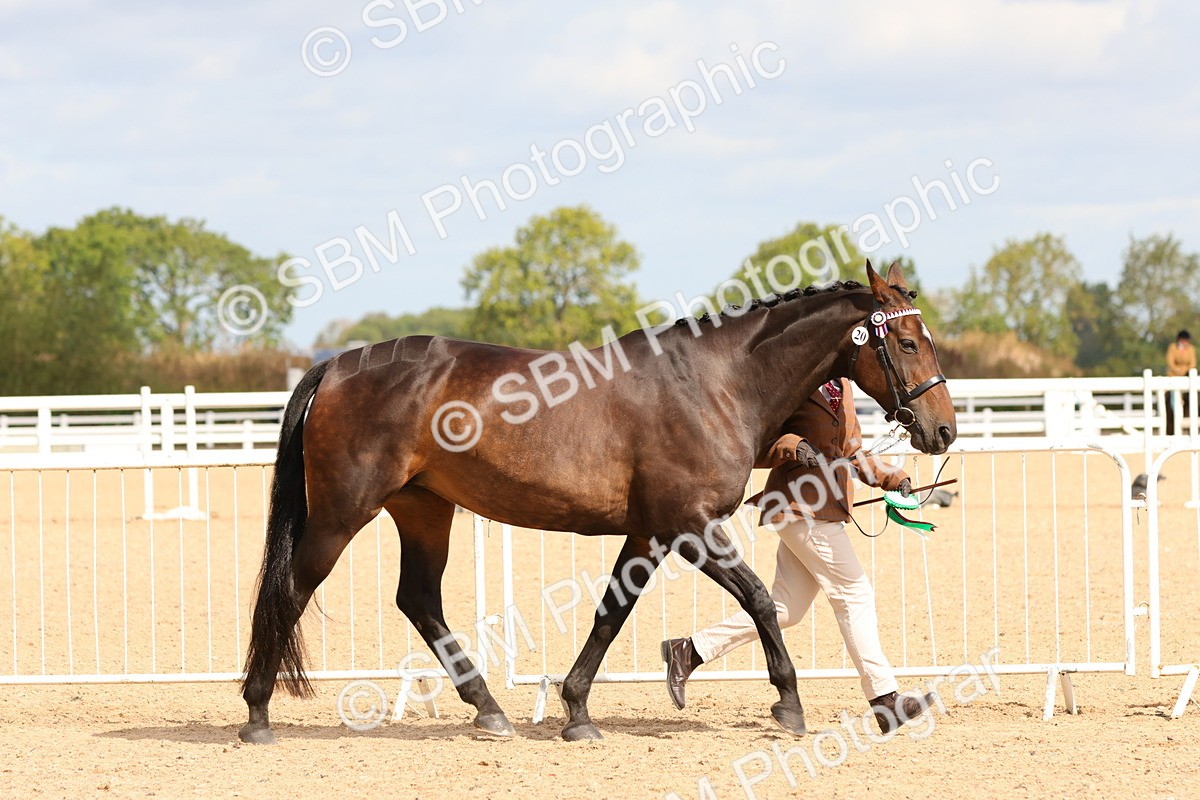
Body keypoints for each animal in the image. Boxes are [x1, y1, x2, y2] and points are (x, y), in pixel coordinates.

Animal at [238, 260, 956, 744]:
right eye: (908, 342)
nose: (943, 430)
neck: (715, 382)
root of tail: (338, 365)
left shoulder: (649, 534)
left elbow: (611, 614)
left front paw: (577, 710)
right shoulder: (690, 526)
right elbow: (756, 599)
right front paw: (788, 704)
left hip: (423, 510)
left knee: (417, 599)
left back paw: (490, 710)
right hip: (342, 514)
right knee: (292, 590)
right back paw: (257, 712)